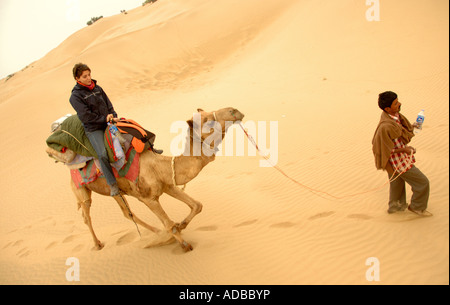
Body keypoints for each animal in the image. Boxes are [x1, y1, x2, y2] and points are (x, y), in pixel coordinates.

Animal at [71, 108, 246, 251]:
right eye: (207, 120)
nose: (234, 110)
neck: (158, 166)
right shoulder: (149, 198)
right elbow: (169, 224)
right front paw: (184, 244)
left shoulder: (167, 185)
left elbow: (197, 205)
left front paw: (181, 225)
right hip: (81, 189)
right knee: (87, 214)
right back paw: (97, 244)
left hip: (117, 191)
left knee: (127, 213)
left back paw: (156, 232)